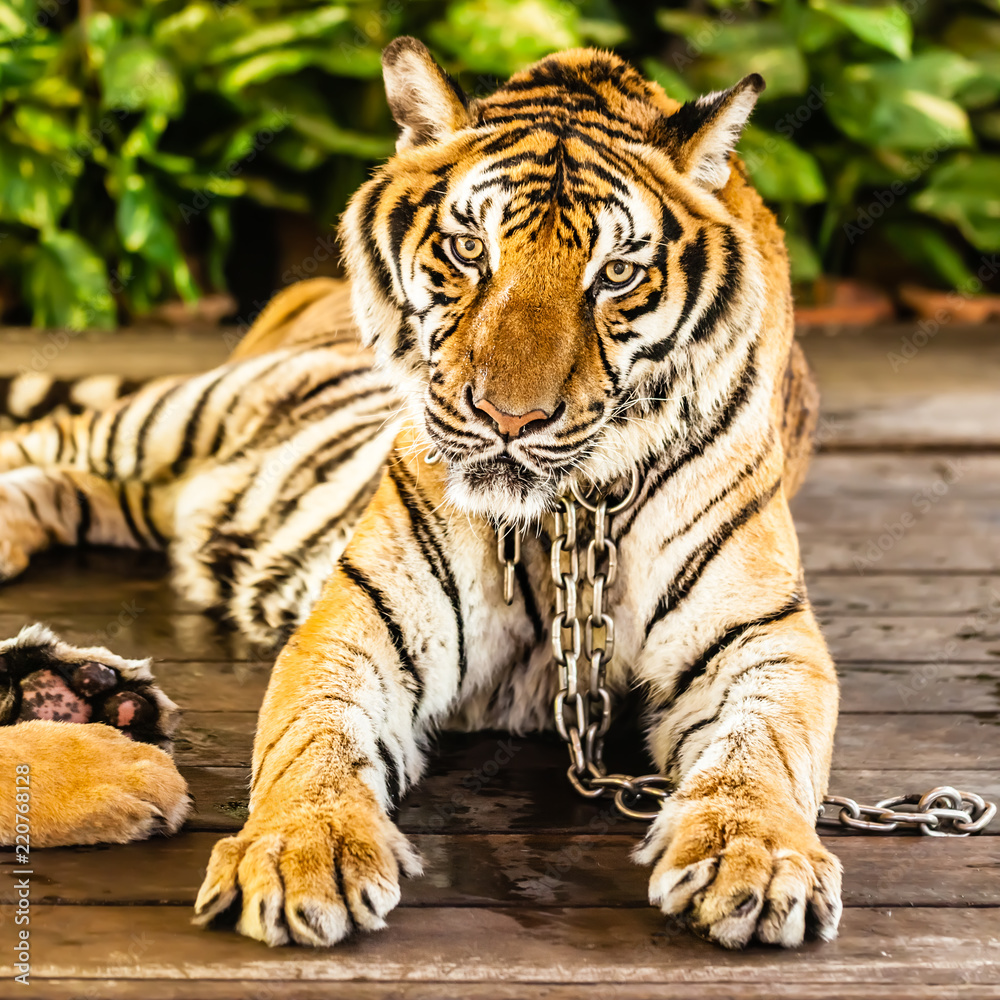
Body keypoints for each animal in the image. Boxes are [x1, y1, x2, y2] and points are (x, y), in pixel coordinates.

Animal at [0, 39, 840, 951]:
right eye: (470, 250)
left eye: (616, 274)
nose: (510, 418)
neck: (566, 517)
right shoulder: (362, 625)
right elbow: (314, 738)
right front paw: (303, 852)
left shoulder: (760, 635)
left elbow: (767, 750)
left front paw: (753, 856)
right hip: (175, 418)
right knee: (42, 443)